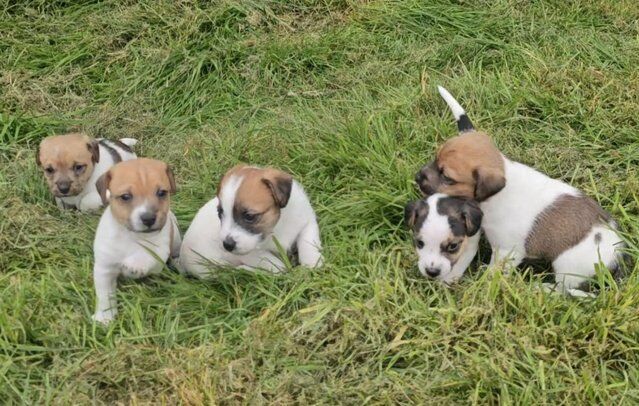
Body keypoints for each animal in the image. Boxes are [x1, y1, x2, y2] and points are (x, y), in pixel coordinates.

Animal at [90, 159, 181, 324]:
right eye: (125, 196)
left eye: (162, 193)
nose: (149, 218)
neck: (132, 236)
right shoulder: (104, 268)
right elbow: (105, 295)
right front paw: (104, 317)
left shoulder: (160, 251)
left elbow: (149, 254)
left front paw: (135, 264)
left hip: (176, 237)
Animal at [178, 164, 322, 276]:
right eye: (220, 213)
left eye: (249, 216)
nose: (227, 245)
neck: (277, 226)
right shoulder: (250, 254)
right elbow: (275, 264)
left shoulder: (306, 221)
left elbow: (308, 242)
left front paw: (312, 264)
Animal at [416, 85, 624, 294]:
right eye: (435, 159)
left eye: (446, 177)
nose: (416, 177)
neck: (496, 196)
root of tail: (618, 254)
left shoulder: (507, 251)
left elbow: (493, 273)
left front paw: (482, 286)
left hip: (568, 267)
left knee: (562, 289)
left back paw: (542, 288)